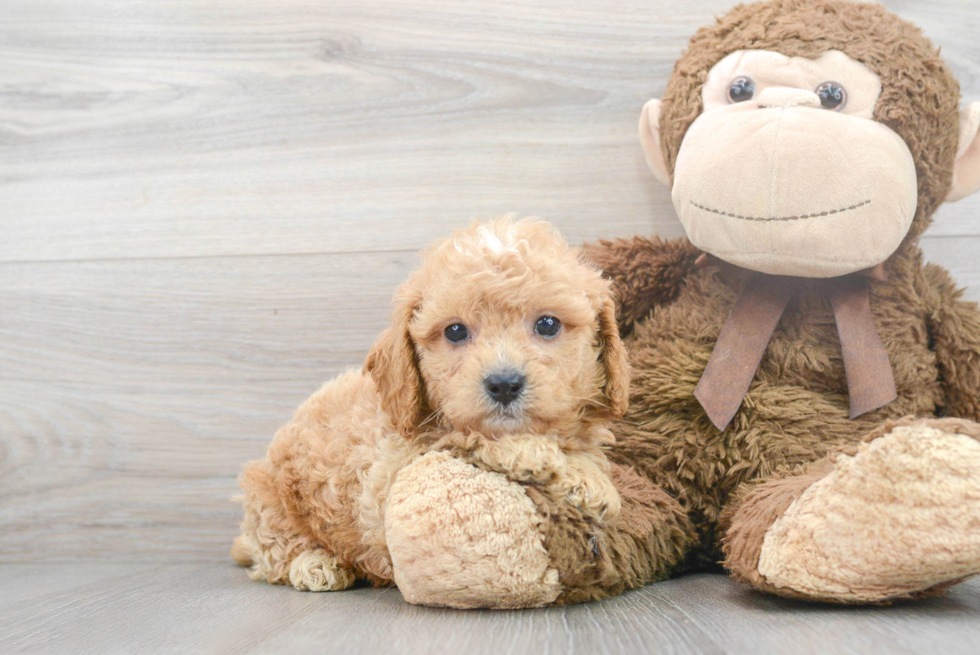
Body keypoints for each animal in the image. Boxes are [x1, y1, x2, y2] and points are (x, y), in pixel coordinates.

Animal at [232, 219, 628, 596]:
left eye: (547, 324)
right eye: (455, 331)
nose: (504, 384)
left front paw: (585, 471)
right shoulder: (395, 471)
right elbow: (473, 436)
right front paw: (567, 469)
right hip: (270, 500)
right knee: (276, 551)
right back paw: (315, 564)